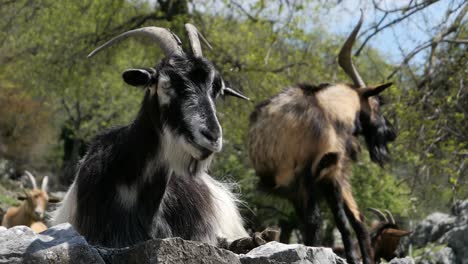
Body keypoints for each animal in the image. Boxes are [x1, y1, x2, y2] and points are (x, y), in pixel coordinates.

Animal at [247, 12, 396, 264]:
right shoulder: (331, 171)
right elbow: (346, 221)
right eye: (377, 103)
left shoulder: (304, 186)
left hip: (300, 188)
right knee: (338, 220)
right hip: (319, 178)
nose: (391, 132)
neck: (327, 108)